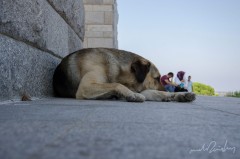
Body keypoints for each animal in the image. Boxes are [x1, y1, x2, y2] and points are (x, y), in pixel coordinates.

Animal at [52, 47, 195, 102]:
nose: (166, 88)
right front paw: (131, 95)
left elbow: (156, 93)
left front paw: (178, 95)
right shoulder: (86, 87)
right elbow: (117, 84)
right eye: (157, 78)